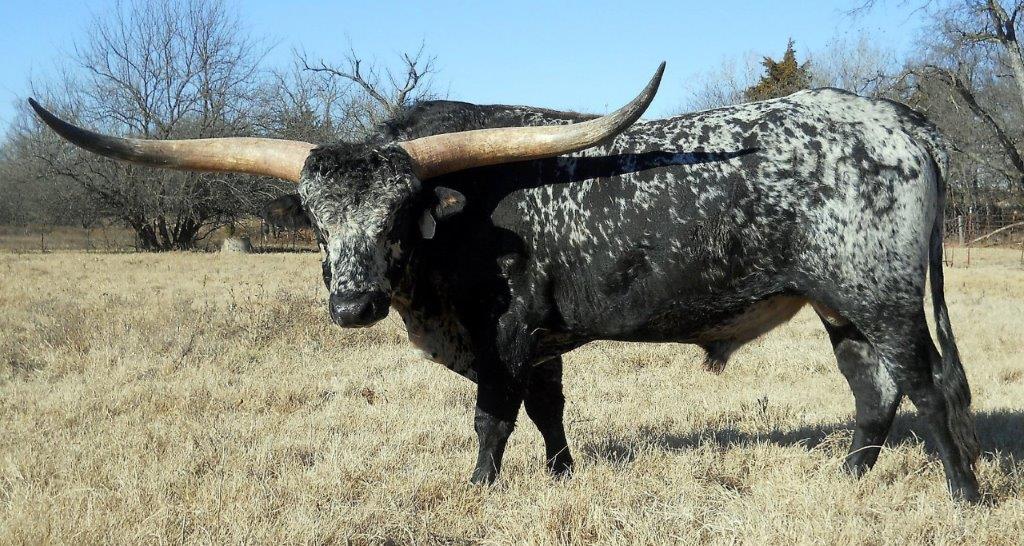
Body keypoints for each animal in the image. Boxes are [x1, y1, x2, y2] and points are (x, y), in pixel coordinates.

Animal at [29, 62, 983, 501]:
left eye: (400, 211)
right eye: (313, 216)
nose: (353, 304)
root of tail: (896, 122)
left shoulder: (505, 335)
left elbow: (494, 416)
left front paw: (479, 490)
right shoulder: (546, 341)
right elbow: (549, 410)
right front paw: (561, 476)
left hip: (883, 296)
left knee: (926, 387)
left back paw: (963, 495)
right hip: (837, 305)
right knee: (872, 393)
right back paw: (848, 479)